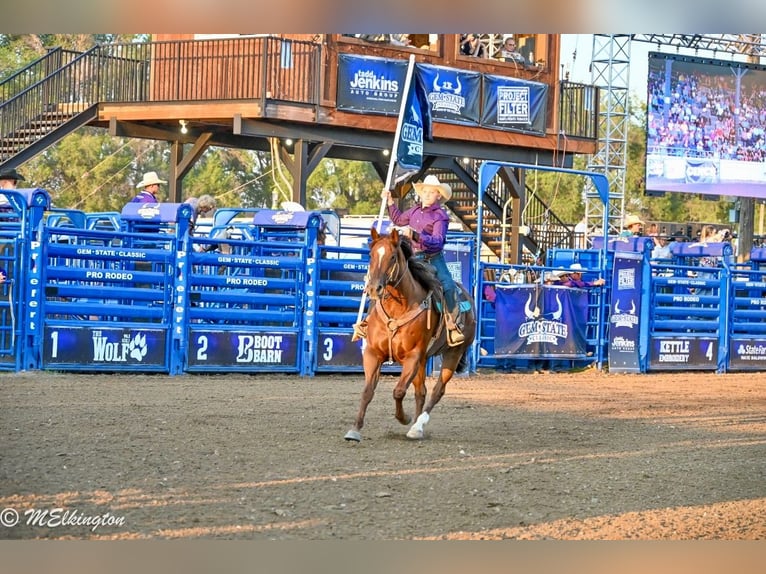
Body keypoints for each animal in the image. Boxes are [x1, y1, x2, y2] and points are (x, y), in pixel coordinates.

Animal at [344, 227, 476, 442]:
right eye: (371, 255)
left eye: (391, 257)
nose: (374, 288)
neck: (398, 308)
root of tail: (467, 296)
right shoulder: (373, 353)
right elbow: (367, 391)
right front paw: (354, 430)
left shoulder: (412, 356)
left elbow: (398, 391)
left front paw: (403, 418)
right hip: (423, 359)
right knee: (421, 391)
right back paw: (415, 424)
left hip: (453, 353)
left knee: (437, 391)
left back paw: (417, 426)